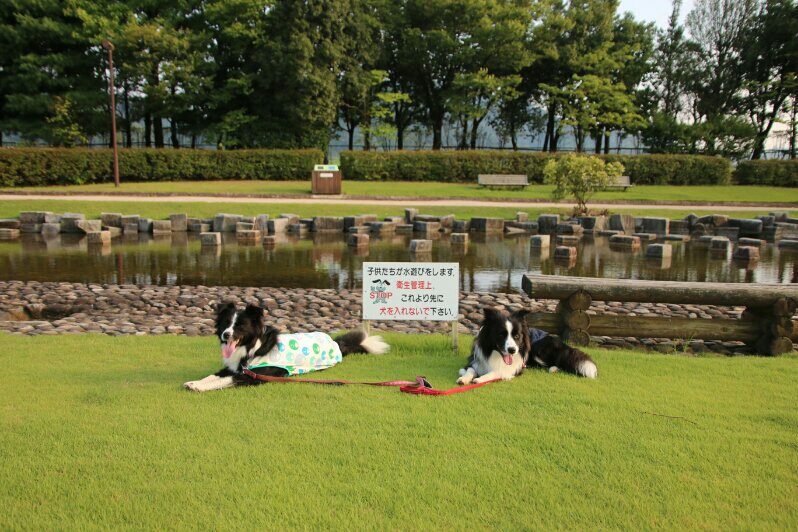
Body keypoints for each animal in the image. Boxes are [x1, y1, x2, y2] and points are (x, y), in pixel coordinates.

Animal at [184, 302, 389, 392]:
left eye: (240, 326)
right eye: (226, 323)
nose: (226, 335)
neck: (252, 348)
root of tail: (335, 343)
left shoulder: (253, 376)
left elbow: (225, 380)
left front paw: (199, 387)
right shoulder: (234, 368)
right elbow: (213, 376)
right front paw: (193, 382)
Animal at [457, 307, 597, 384]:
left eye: (517, 336)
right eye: (501, 335)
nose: (512, 350)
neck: (494, 354)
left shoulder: (514, 369)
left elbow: (497, 372)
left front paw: (480, 379)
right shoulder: (474, 361)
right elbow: (470, 370)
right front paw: (464, 379)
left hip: (538, 349)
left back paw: (554, 369)